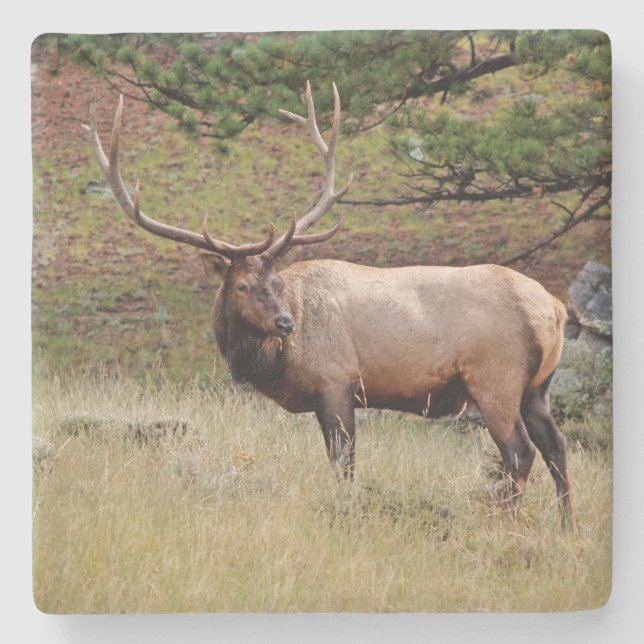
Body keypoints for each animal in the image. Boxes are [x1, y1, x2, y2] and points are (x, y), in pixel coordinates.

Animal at [82, 82, 574, 530]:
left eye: (276, 281)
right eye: (242, 284)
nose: (285, 322)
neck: (274, 365)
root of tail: (555, 310)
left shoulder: (336, 382)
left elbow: (344, 464)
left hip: (496, 379)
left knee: (520, 452)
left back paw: (504, 524)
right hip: (538, 387)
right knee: (558, 447)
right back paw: (568, 529)